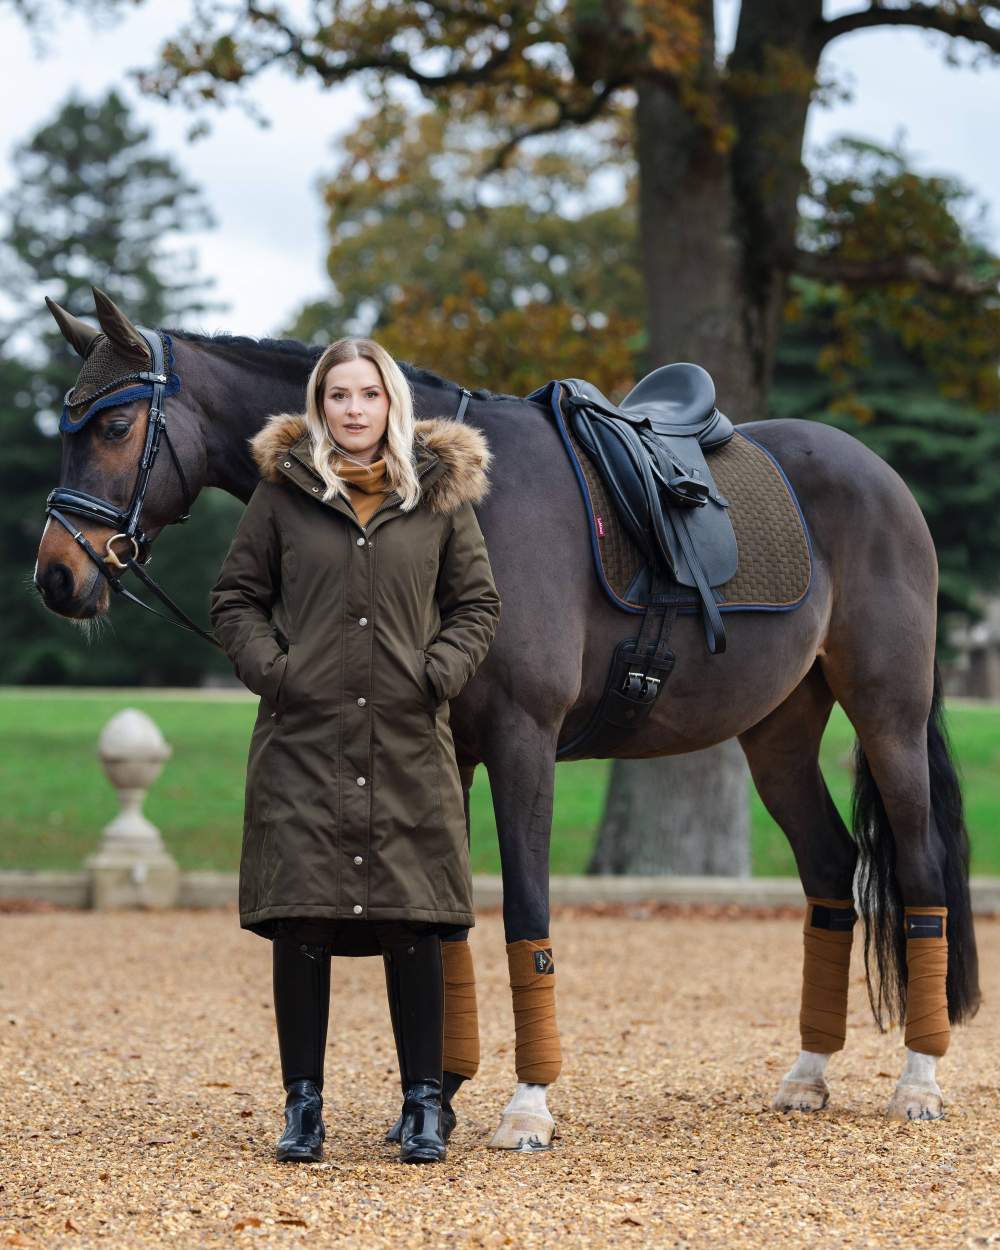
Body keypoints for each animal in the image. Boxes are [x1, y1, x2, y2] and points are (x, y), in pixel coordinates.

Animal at [33, 287, 975, 1145]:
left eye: (114, 428)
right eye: (68, 428)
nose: (56, 578)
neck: (457, 500)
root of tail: (881, 476)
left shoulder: (524, 742)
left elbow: (526, 912)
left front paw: (526, 1106)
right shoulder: (446, 751)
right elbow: (444, 926)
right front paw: (437, 1100)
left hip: (887, 715)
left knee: (919, 869)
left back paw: (918, 1081)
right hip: (777, 736)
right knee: (832, 870)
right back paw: (808, 1074)